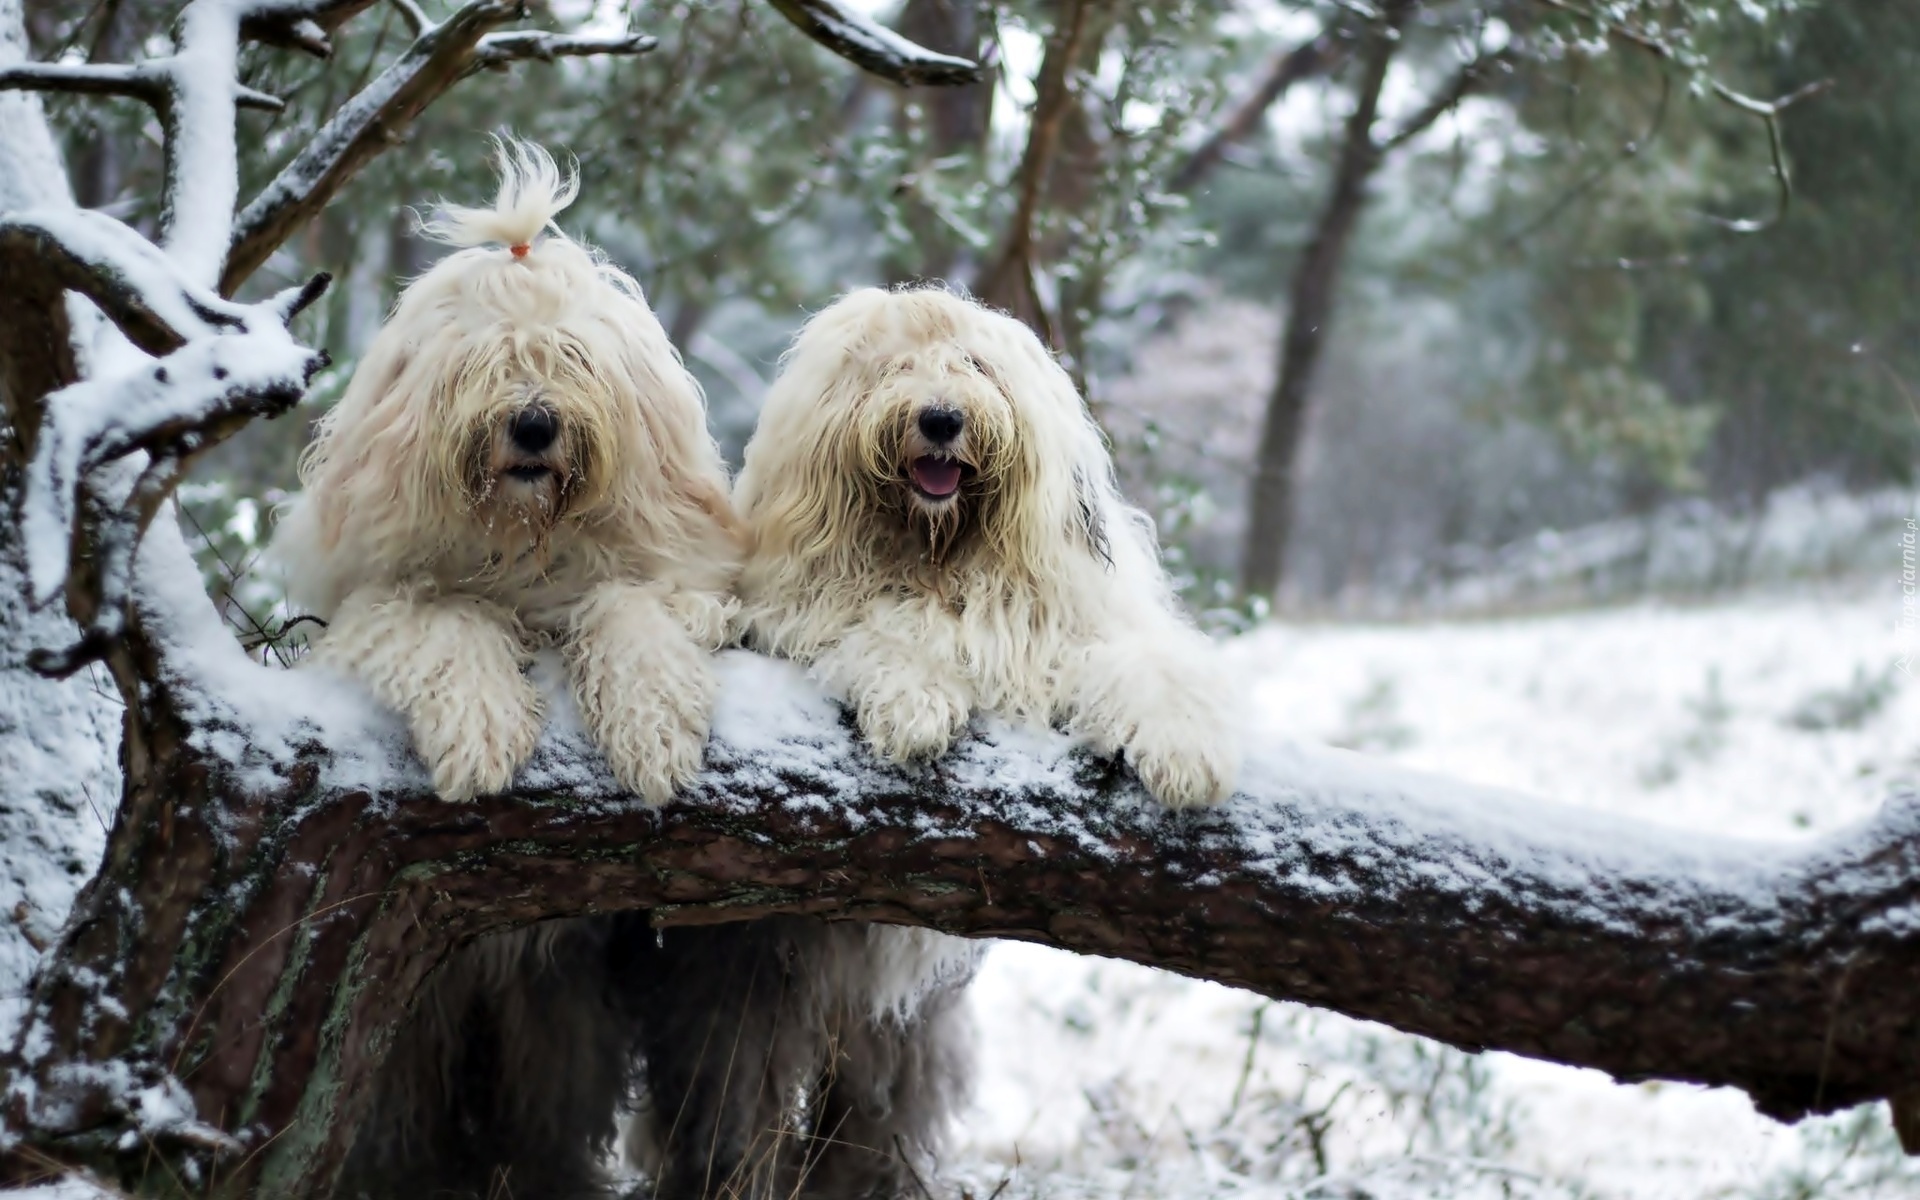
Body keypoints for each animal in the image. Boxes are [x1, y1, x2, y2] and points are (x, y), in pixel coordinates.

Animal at [274, 138, 737, 806]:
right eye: (481, 362)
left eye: (573, 357)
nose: (535, 424)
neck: (520, 534)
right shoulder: (373, 596)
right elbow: (447, 621)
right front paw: (480, 732)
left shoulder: (679, 572)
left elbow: (630, 605)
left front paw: (653, 729)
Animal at [733, 282, 1244, 806]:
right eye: (896, 366)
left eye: (974, 364)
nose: (941, 419)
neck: (942, 552)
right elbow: (888, 632)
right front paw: (915, 702)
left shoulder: (1086, 625)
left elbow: (1155, 668)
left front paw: (1185, 751)